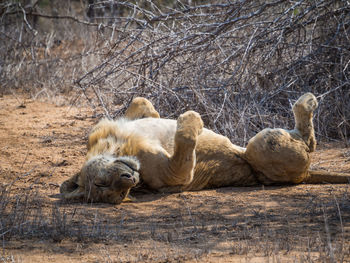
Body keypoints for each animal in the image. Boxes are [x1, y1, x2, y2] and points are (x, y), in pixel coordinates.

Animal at [60, 94, 350, 205]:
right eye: (115, 193)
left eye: (100, 183)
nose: (129, 179)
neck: (116, 144)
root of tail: (306, 176)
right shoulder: (174, 176)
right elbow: (185, 142)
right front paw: (192, 118)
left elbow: (141, 102)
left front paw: (157, 112)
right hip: (259, 147)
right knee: (307, 143)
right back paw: (307, 101)